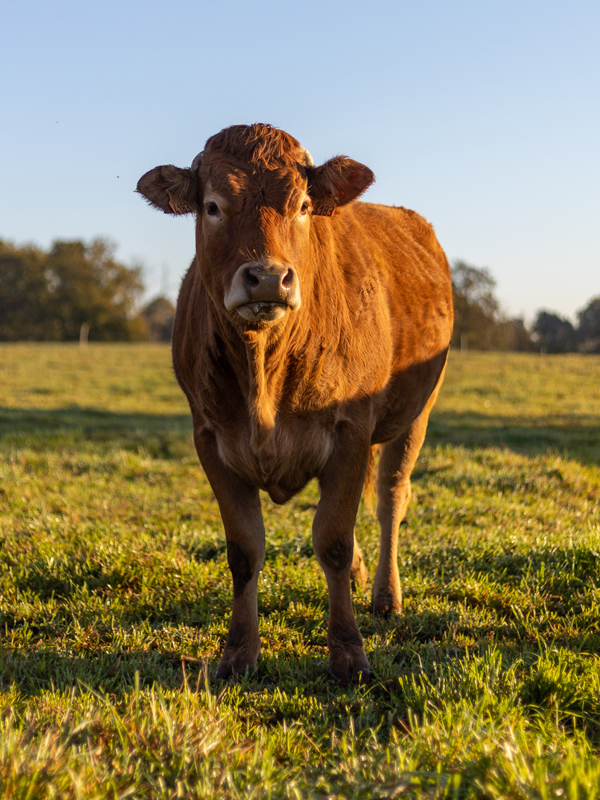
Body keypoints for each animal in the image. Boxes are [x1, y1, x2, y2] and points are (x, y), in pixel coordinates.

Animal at [137, 123, 454, 680]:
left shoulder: (350, 430)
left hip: (415, 414)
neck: (264, 364)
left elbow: (333, 540)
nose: (267, 277)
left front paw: (348, 654)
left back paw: (385, 596)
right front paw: (239, 653)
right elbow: (245, 550)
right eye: (212, 206)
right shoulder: (210, 439)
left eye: (303, 206)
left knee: (390, 498)